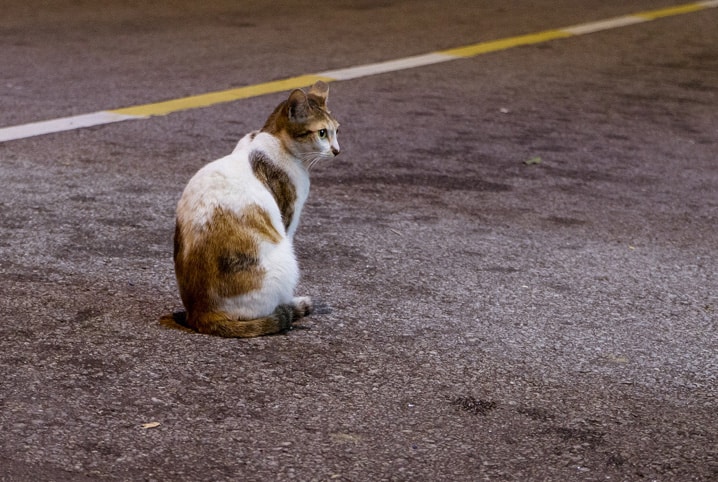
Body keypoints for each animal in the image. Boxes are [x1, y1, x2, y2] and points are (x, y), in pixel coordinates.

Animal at [174, 81, 344, 338]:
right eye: (322, 133)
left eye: (337, 131)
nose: (337, 150)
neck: (273, 138)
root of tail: (200, 313)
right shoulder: (288, 218)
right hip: (286, 260)